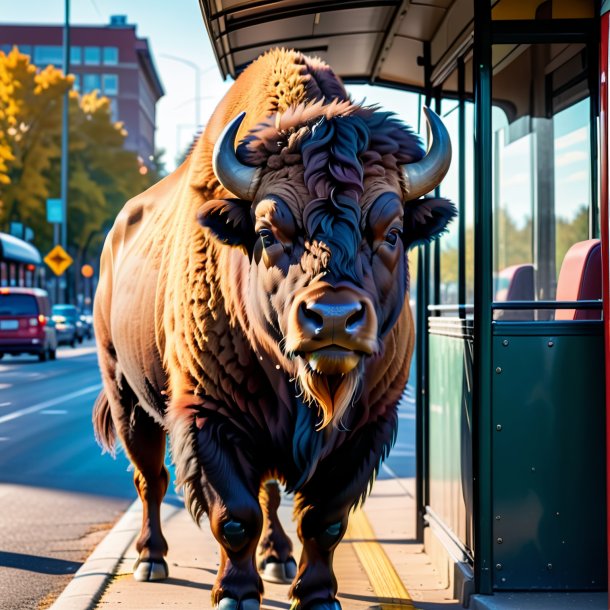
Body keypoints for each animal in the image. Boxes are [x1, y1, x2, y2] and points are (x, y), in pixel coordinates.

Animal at [94, 48, 452, 608]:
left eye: (392, 231)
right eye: (267, 231)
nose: (333, 318)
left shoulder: (366, 428)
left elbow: (322, 519)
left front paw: (317, 593)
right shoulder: (210, 416)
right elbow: (233, 515)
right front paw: (236, 592)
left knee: (264, 493)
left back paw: (278, 556)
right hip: (127, 396)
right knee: (150, 477)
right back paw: (151, 559)